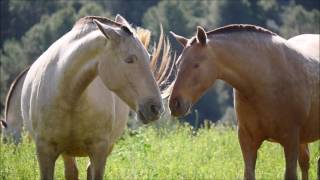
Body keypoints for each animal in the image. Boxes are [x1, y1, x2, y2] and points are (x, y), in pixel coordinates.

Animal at [20, 15, 165, 180]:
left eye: (148, 57)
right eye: (129, 59)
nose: (156, 108)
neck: (70, 97)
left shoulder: (99, 149)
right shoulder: (44, 151)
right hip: (66, 152)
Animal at [169, 24, 318, 179]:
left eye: (196, 65)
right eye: (178, 63)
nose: (174, 103)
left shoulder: (291, 141)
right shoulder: (247, 140)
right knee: (305, 163)